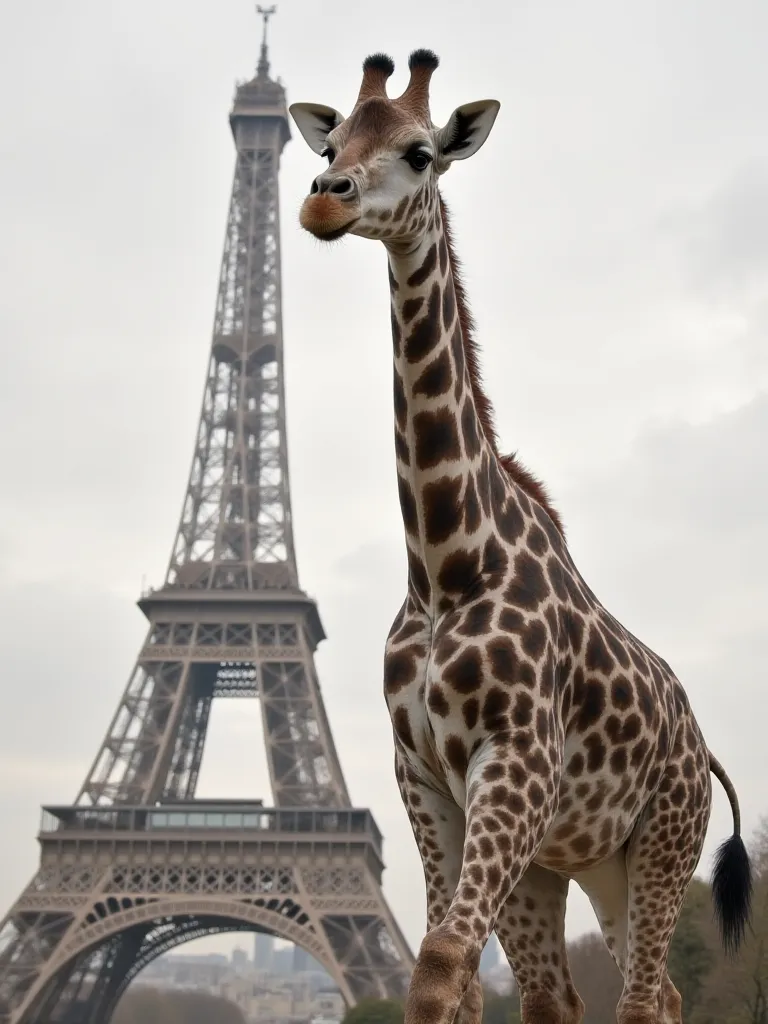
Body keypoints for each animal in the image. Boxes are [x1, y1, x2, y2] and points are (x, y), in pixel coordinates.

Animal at [289, 51, 753, 1024]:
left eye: (421, 153)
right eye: (332, 139)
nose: (324, 200)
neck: (444, 563)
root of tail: (704, 749)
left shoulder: (516, 763)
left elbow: (439, 962)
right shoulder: (426, 779)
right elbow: (456, 979)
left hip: (661, 846)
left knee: (643, 999)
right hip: (580, 864)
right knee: (609, 995)